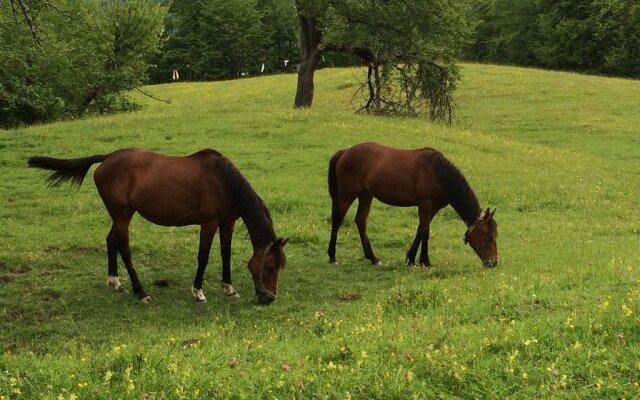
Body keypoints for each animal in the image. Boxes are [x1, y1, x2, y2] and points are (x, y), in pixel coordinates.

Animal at [27, 148, 288, 304]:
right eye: (270, 265)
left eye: (279, 266)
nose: (269, 298)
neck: (223, 181)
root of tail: (107, 157)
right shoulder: (209, 223)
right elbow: (203, 256)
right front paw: (198, 291)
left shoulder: (228, 222)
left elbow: (226, 253)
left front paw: (229, 288)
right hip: (122, 216)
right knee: (124, 248)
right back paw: (141, 292)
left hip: (121, 215)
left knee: (111, 241)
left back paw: (116, 283)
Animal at [328, 142, 498, 268]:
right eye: (489, 237)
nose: (493, 263)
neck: (438, 173)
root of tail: (345, 151)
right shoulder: (425, 204)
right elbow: (426, 232)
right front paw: (425, 261)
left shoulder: (433, 207)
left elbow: (421, 230)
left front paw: (411, 259)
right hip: (347, 195)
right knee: (337, 220)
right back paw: (332, 256)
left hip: (365, 195)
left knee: (361, 221)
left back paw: (373, 258)